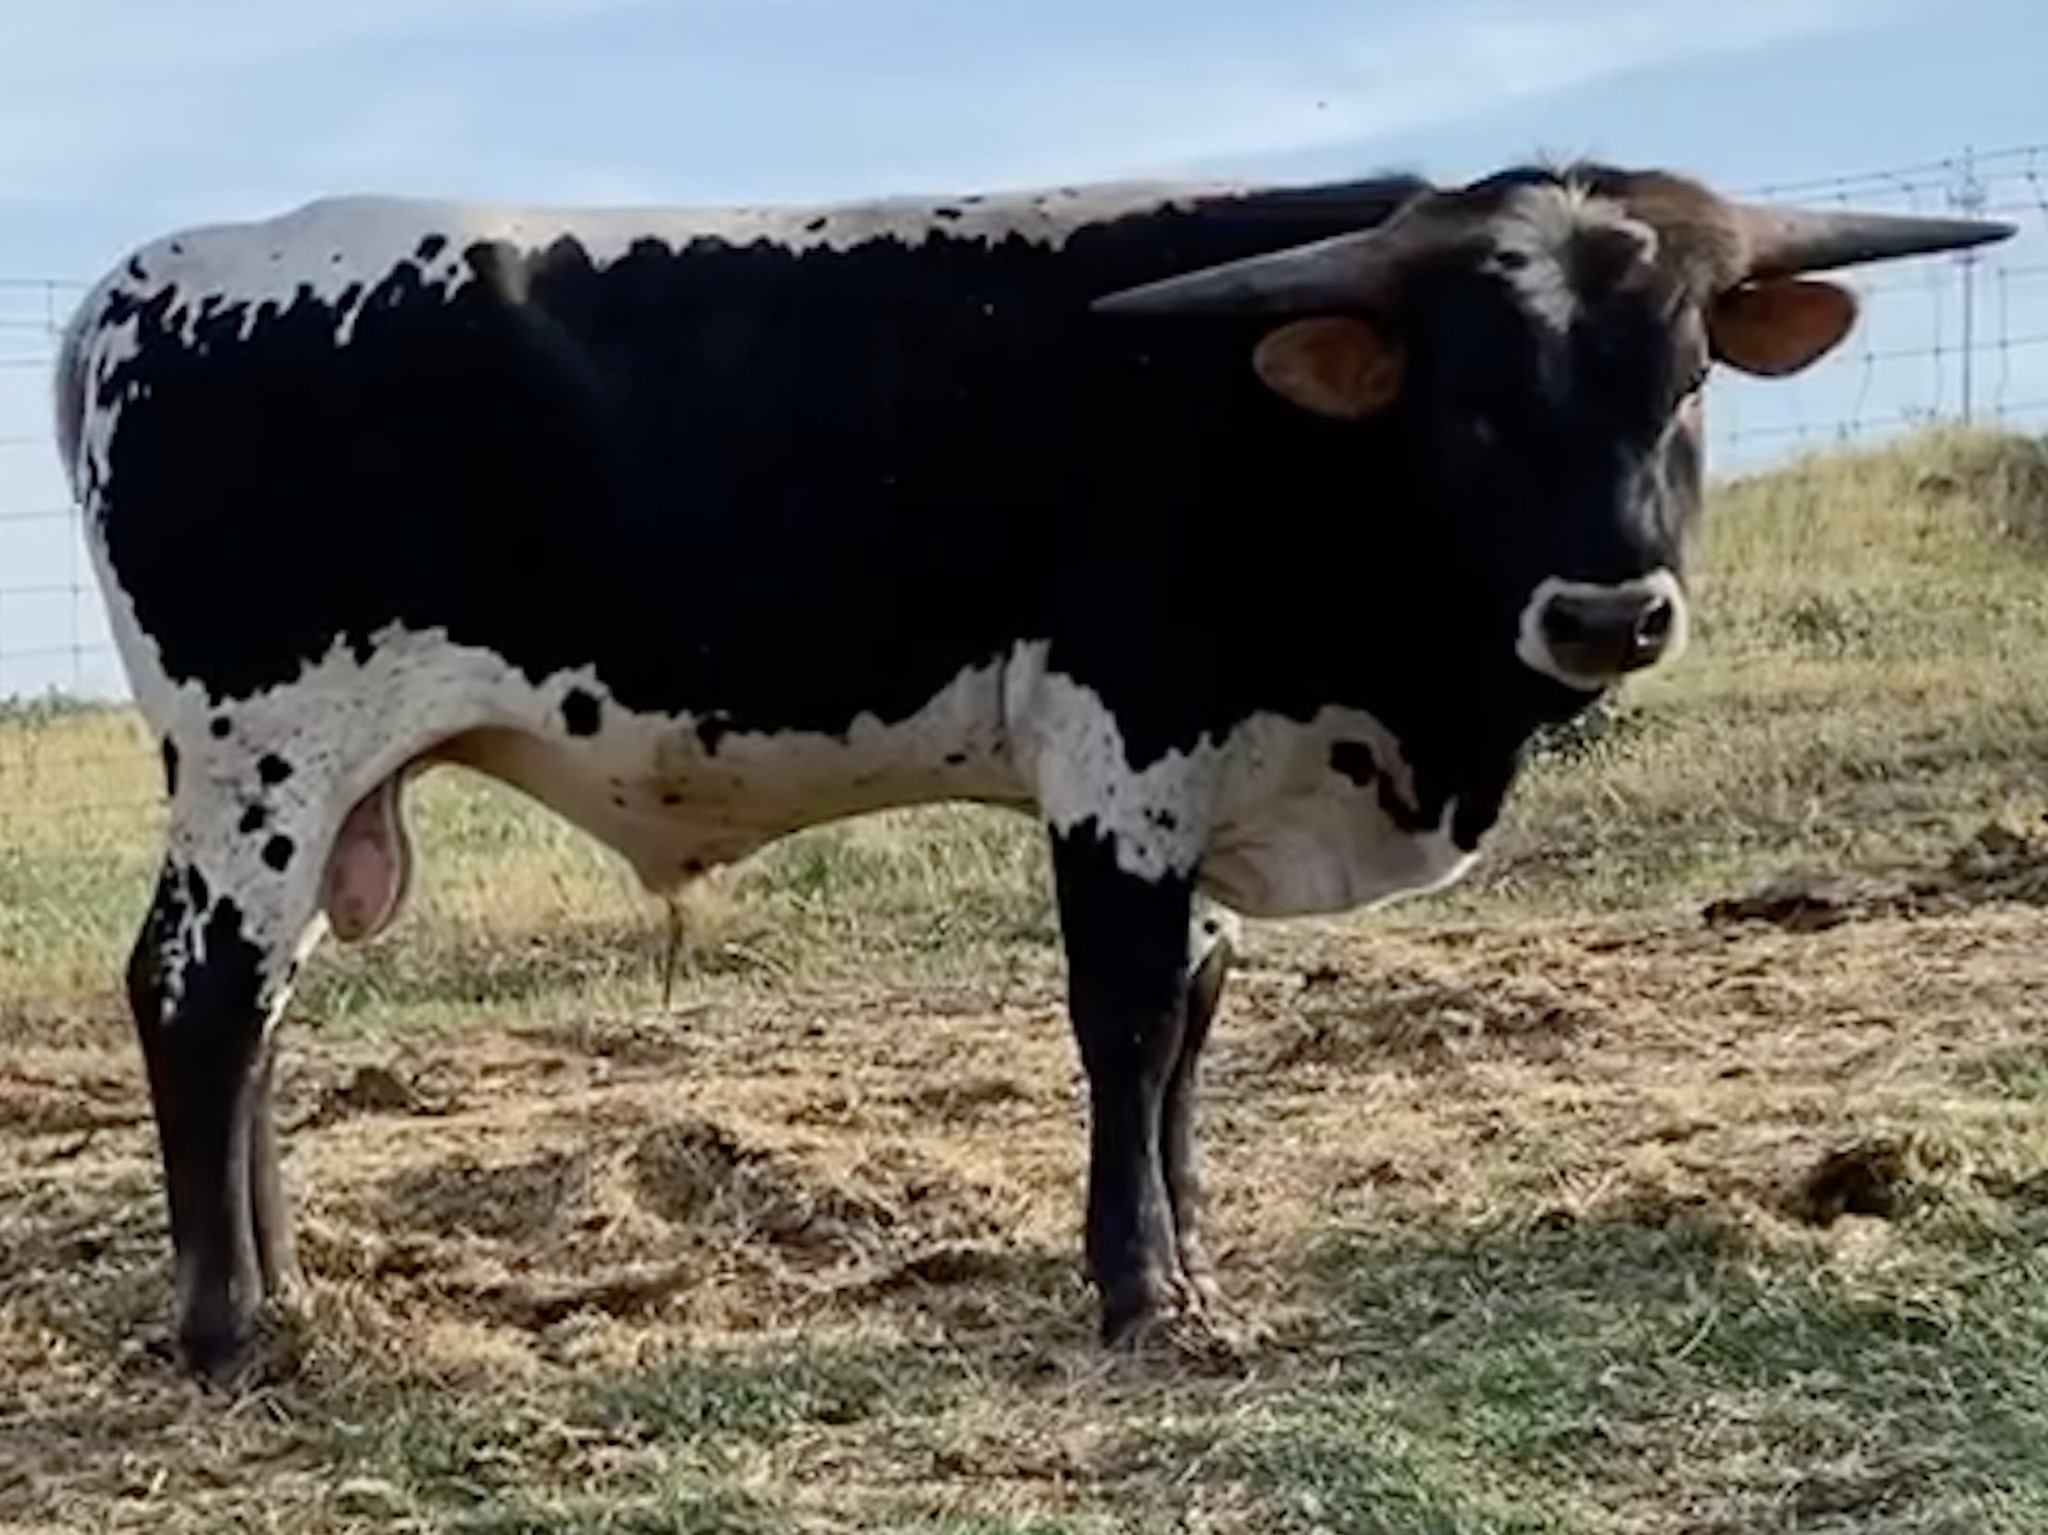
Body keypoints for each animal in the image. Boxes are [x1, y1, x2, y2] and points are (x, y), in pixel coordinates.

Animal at [51, 158, 2011, 1381]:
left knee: (264, 1002)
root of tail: (158, 276)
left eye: (1682, 381)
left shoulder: (1213, 784)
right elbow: (1127, 1017)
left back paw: (291, 1291)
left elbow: (1198, 1015)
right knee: (198, 995)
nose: (1608, 613)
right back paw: (228, 1331)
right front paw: (1139, 1291)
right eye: (1469, 398)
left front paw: (1193, 1252)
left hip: (301, 787)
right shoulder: (1118, 762)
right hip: (266, 752)